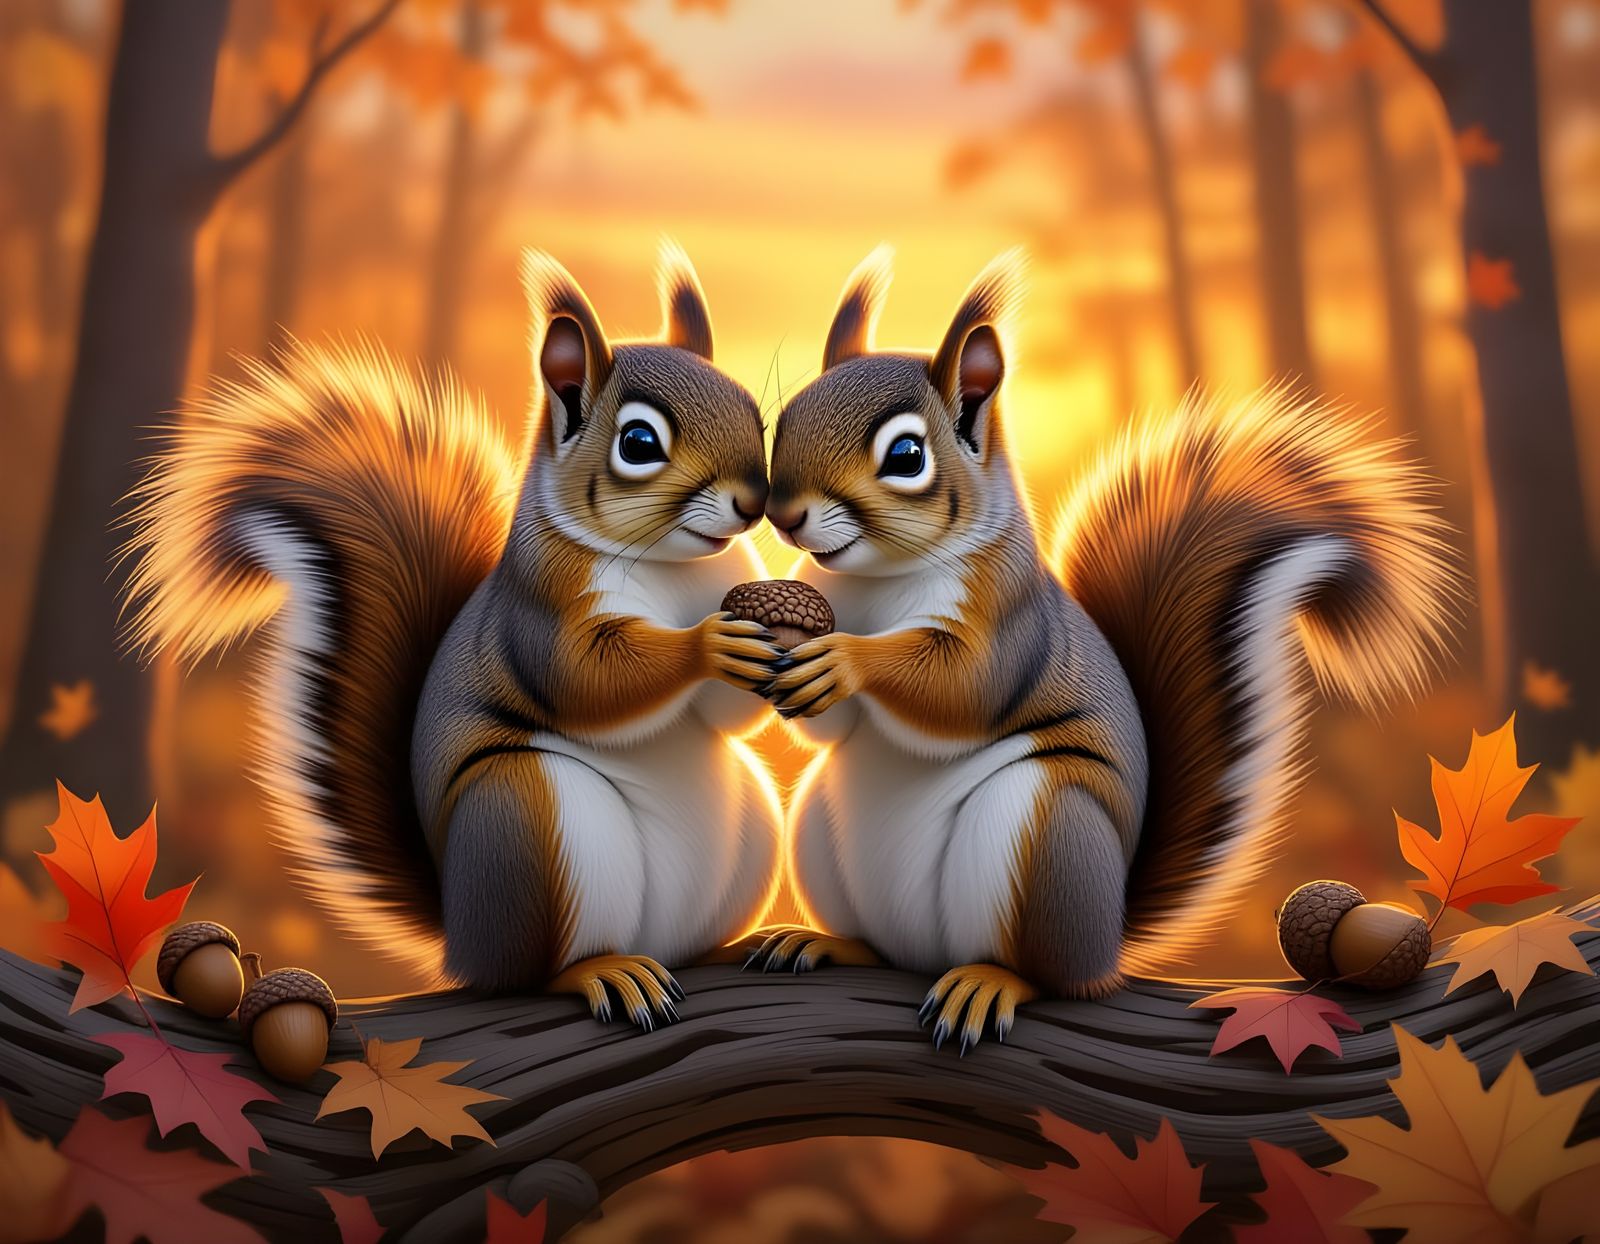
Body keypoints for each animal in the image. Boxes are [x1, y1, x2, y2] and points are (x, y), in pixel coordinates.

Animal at [122, 243, 786, 1027]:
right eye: (639, 442)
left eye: (754, 413)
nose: (754, 501)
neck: (674, 565)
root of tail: (458, 934)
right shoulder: (539, 611)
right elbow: (586, 679)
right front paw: (708, 645)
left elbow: (728, 716)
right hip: (523, 817)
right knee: (530, 974)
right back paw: (601, 971)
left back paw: (740, 944)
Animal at [750, 246, 1460, 1051]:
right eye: (788, 416)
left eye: (905, 455)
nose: (784, 513)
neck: (875, 581)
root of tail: (1111, 932)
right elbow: (831, 726)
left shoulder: (1009, 624)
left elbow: (961, 689)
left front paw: (845, 661)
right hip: (820, 837)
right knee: (881, 947)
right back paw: (826, 941)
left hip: (1049, 832)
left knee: (1053, 976)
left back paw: (989, 982)